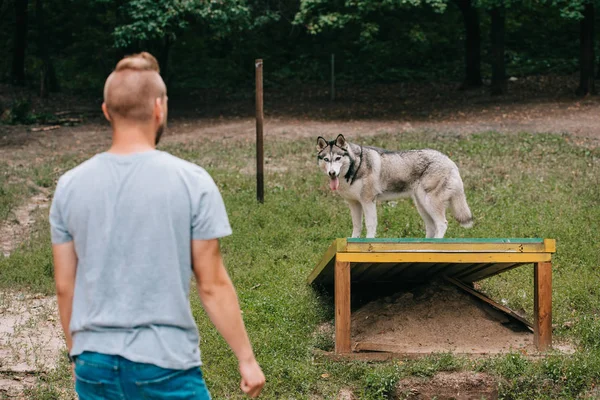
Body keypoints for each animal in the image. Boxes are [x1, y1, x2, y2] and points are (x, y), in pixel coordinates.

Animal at [316, 136, 476, 238]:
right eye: (326, 159)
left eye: (338, 158)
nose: (332, 173)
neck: (356, 166)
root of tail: (449, 160)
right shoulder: (354, 204)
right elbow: (357, 227)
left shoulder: (368, 202)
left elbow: (370, 226)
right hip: (421, 206)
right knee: (432, 227)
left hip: (429, 203)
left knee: (442, 224)